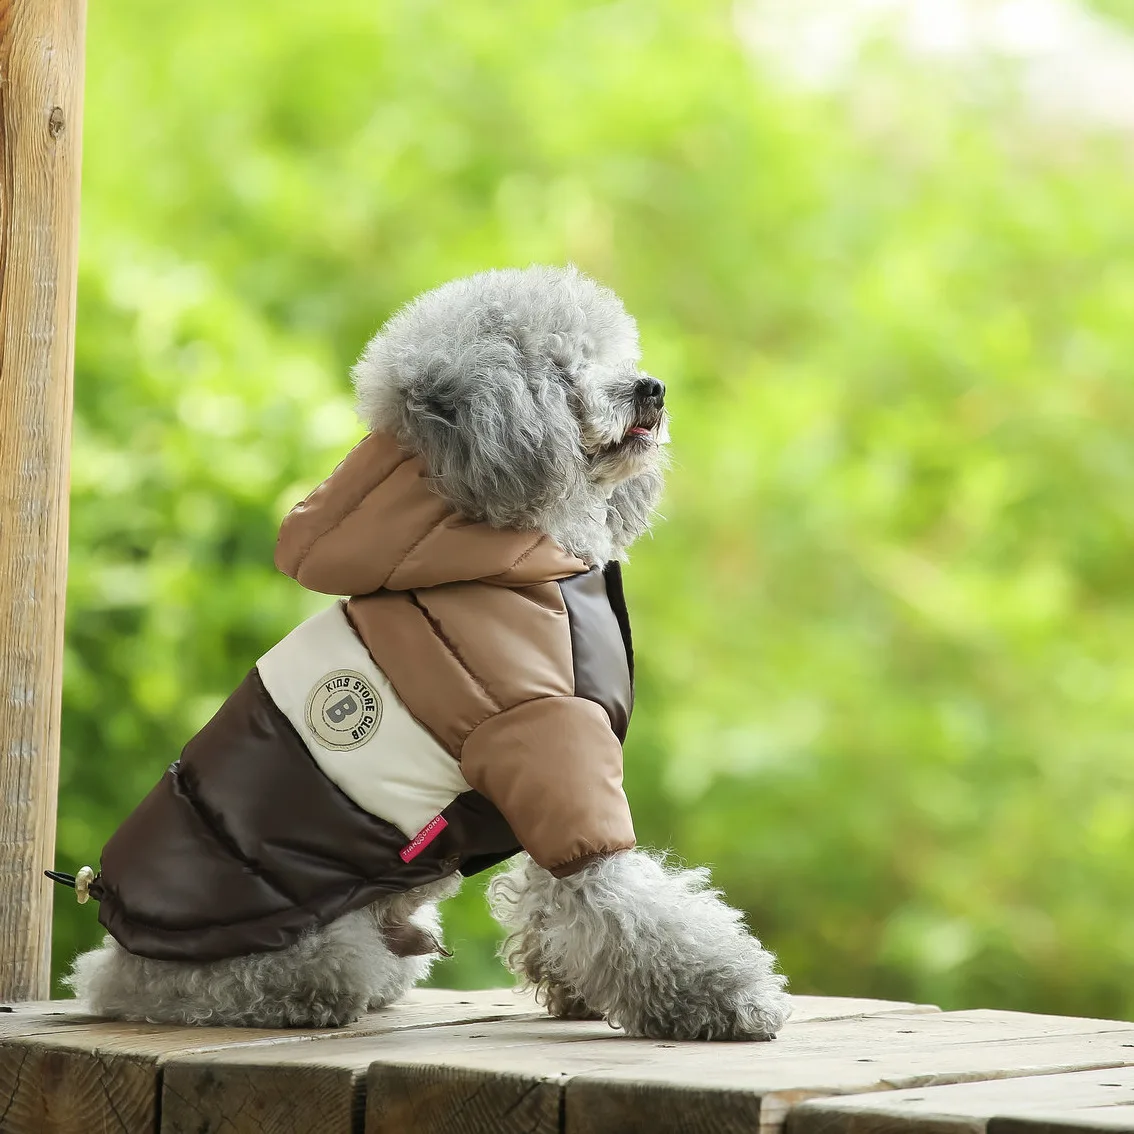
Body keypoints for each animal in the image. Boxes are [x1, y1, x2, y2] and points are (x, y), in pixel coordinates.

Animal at [66, 263, 793, 1038]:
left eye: (612, 354)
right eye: (560, 370)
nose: (649, 388)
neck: (515, 556)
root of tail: (111, 958)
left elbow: (556, 898)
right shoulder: (548, 746)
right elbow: (623, 899)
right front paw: (724, 998)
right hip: (300, 944)